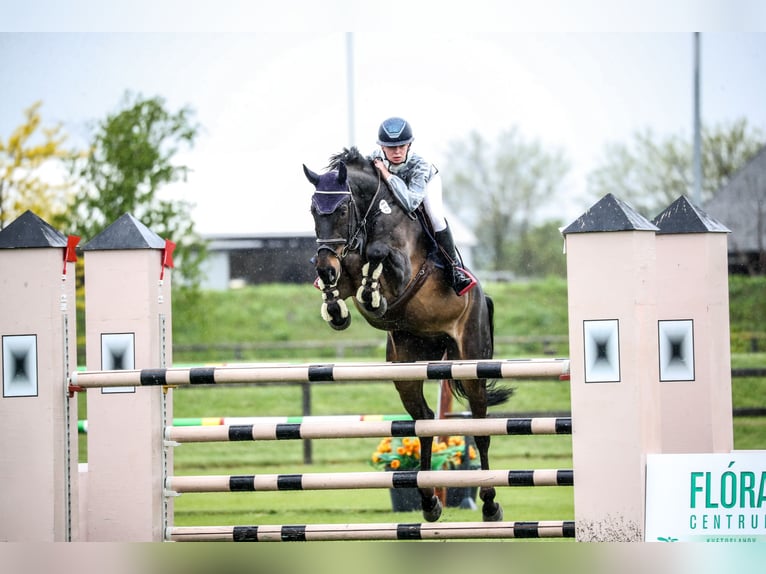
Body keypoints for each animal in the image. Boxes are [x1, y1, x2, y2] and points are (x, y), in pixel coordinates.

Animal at [304, 146, 512, 524]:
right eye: (314, 209)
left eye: (341, 209)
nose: (326, 264)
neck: (371, 216)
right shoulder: (345, 266)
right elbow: (344, 280)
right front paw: (335, 308)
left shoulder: (402, 270)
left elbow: (376, 257)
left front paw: (371, 293)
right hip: (407, 366)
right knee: (425, 422)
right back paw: (429, 502)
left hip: (471, 362)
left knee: (480, 427)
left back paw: (490, 504)